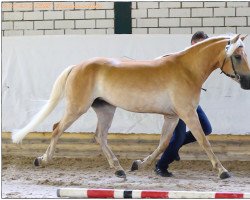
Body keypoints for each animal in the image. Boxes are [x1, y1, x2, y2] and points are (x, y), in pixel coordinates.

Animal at [12, 34, 249, 180]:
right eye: (237, 56)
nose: (247, 82)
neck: (187, 70)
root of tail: (77, 66)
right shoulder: (188, 114)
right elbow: (203, 141)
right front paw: (222, 171)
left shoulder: (172, 117)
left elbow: (164, 144)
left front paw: (139, 164)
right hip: (77, 107)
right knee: (57, 129)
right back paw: (42, 160)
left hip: (105, 109)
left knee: (100, 136)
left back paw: (118, 169)